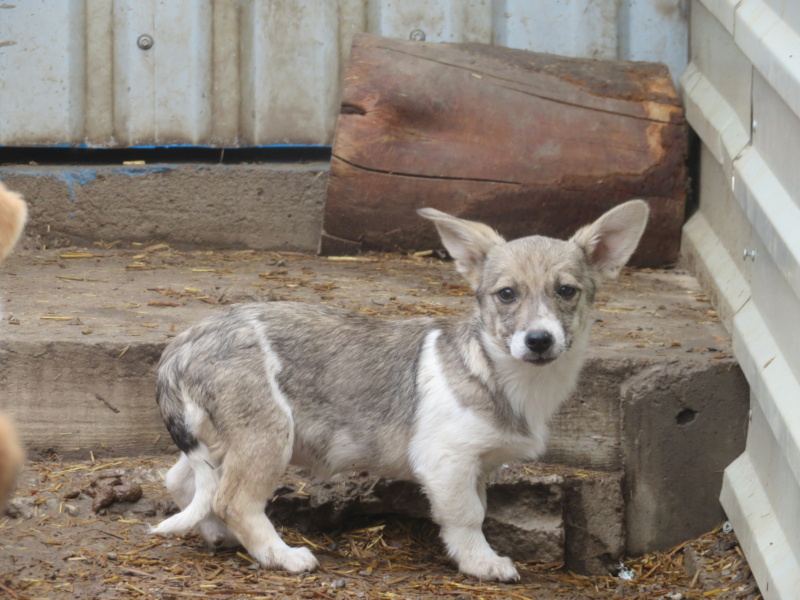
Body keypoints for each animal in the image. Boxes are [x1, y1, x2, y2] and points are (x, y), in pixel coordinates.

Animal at [152, 202, 648, 580]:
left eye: (566, 291)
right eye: (506, 294)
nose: (539, 340)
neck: (500, 371)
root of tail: (183, 343)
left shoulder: (476, 466)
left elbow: (478, 508)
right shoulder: (447, 463)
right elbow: (468, 516)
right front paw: (483, 564)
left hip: (218, 440)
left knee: (185, 482)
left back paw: (217, 535)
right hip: (267, 435)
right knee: (234, 500)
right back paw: (282, 555)